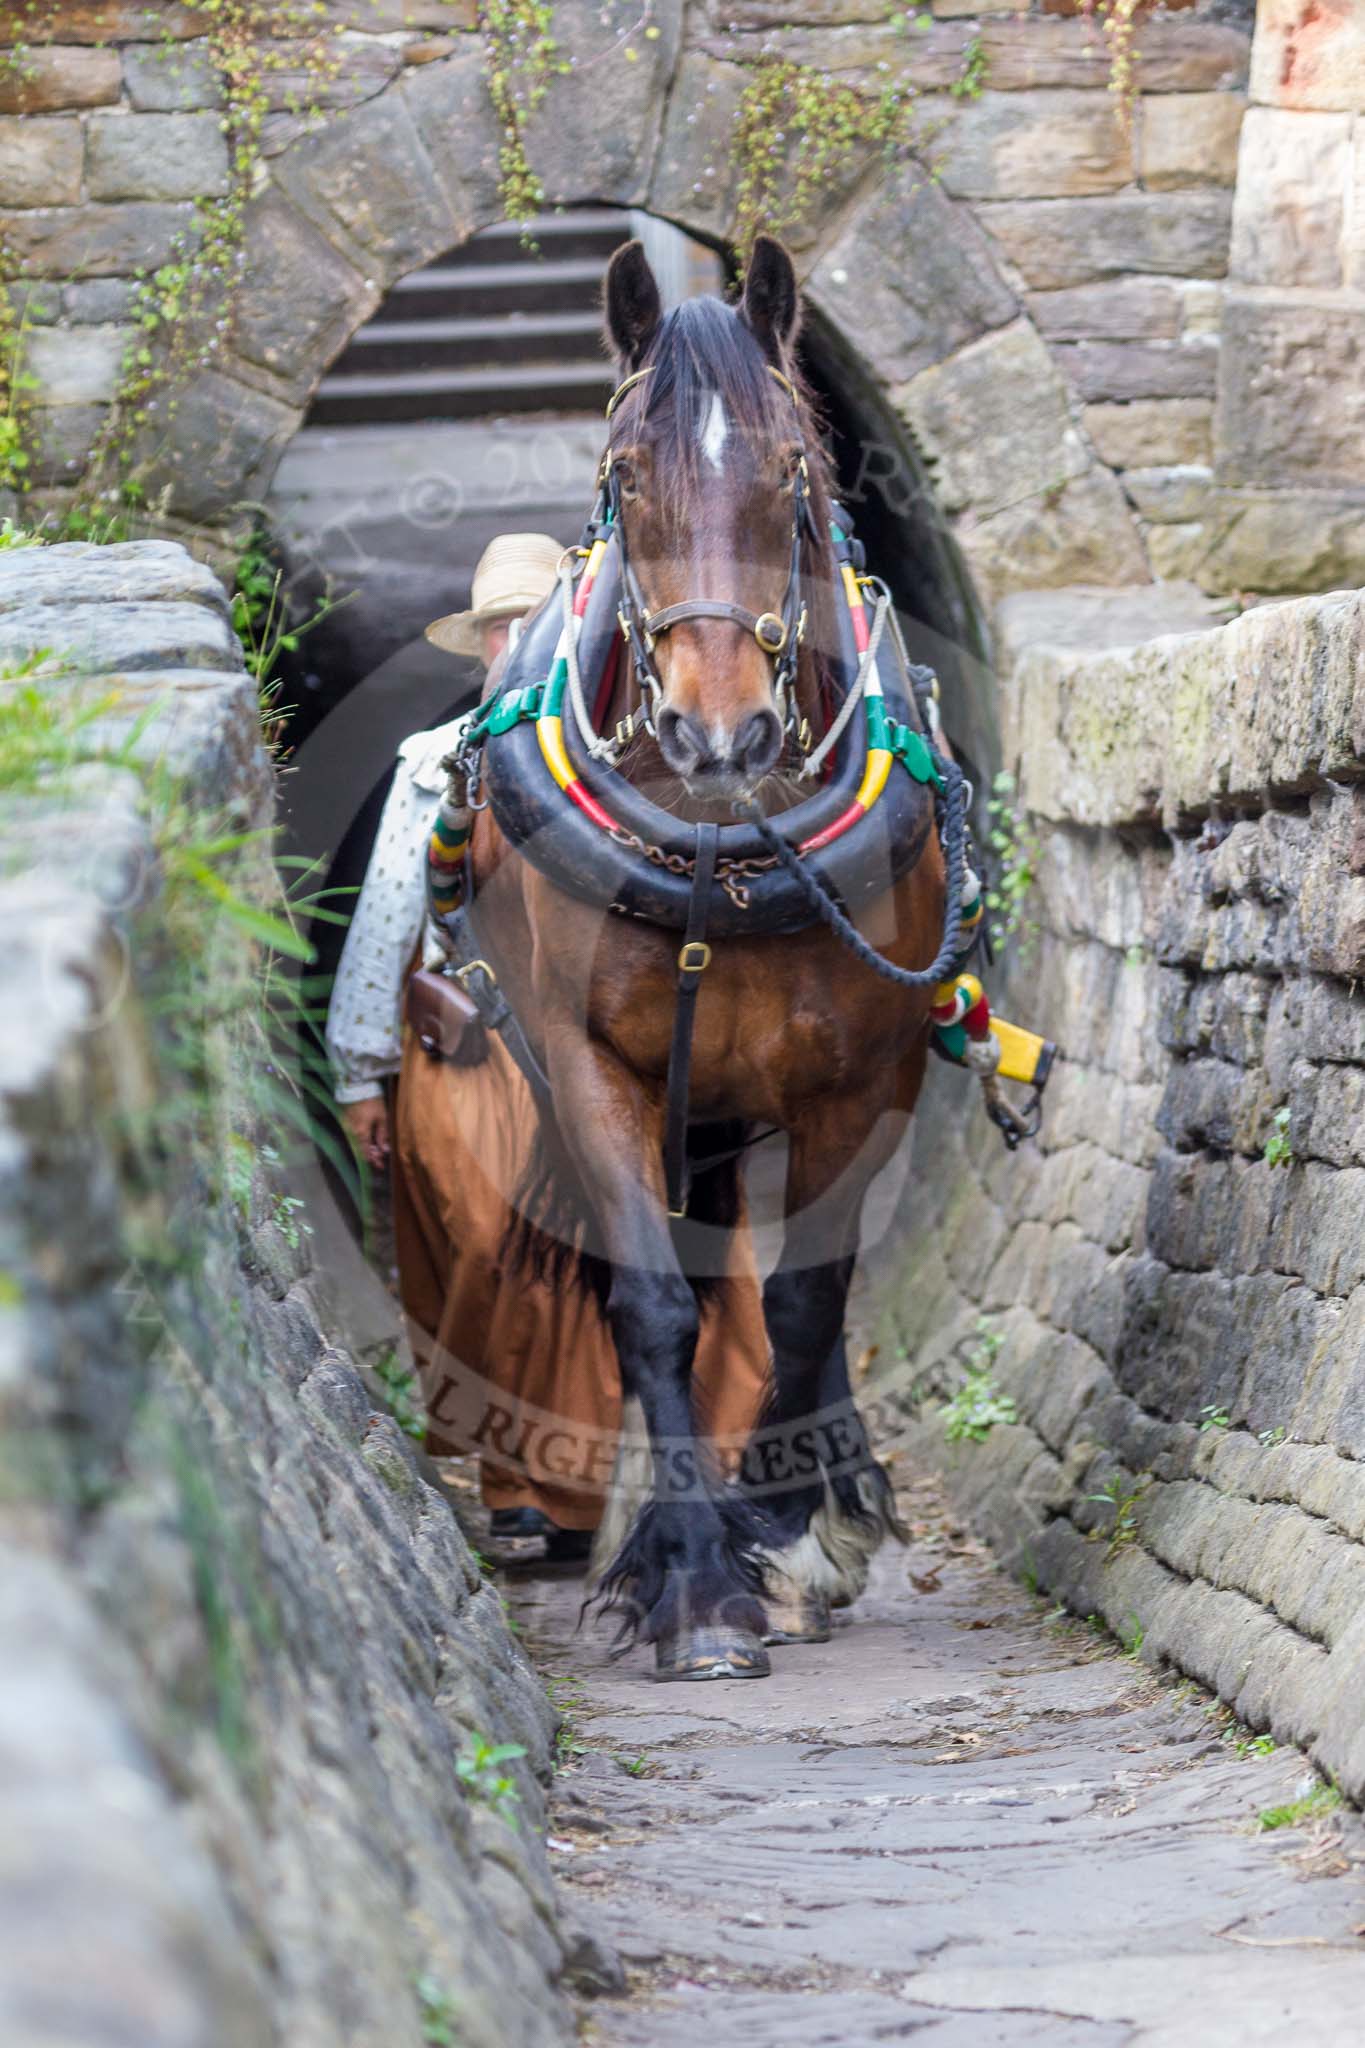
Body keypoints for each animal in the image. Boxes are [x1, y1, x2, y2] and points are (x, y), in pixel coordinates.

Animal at [464, 239, 945, 1679]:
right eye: (625, 473)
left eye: (791, 463)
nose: (714, 732)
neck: (725, 848)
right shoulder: (589, 1064)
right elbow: (655, 1305)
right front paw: (690, 1580)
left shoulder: (867, 1074)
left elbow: (804, 1301)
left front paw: (790, 1536)